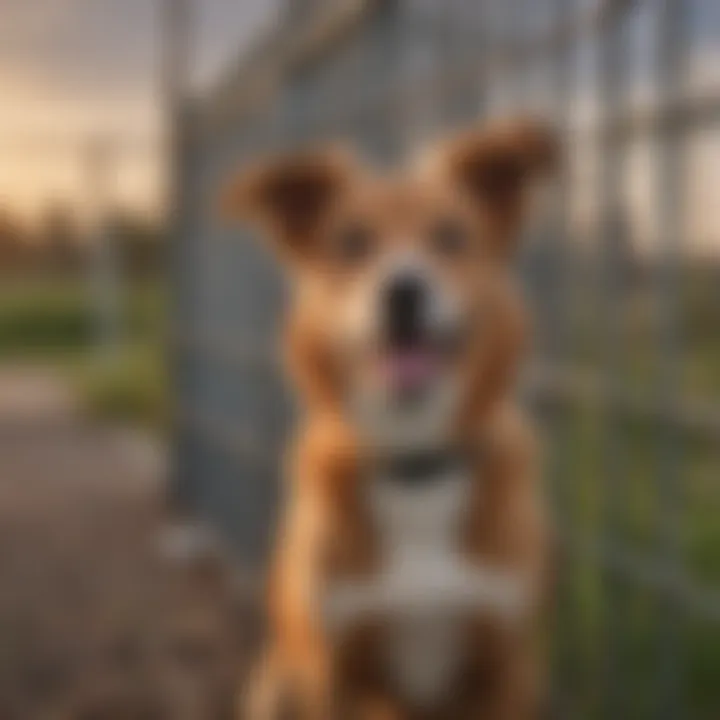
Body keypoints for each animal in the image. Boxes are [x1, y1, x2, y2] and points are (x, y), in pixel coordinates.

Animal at [225, 119, 556, 720]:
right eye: (351, 242)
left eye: (451, 235)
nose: (402, 290)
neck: (414, 463)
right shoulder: (332, 671)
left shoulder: (510, 667)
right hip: (277, 685)